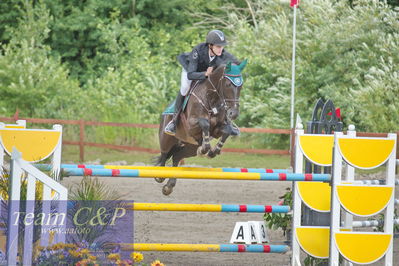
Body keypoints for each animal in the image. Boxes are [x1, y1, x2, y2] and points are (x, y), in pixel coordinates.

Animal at [154, 59, 245, 195]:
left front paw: (213, 151)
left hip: (190, 147)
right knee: (164, 154)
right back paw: (160, 175)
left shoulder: (217, 129)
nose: (233, 114)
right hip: (167, 139)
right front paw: (205, 149)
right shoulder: (192, 124)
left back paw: (169, 186)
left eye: (241, 86)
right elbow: (204, 123)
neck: (212, 99)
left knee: (177, 156)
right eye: (228, 84)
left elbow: (227, 131)